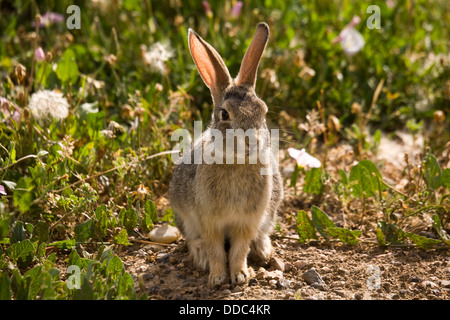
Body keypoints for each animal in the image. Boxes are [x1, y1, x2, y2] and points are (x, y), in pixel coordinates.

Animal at [169, 23, 282, 288]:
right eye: (224, 114)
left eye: (263, 112)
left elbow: (240, 249)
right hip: (184, 216)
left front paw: (239, 276)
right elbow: (215, 250)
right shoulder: (209, 221)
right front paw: (218, 277)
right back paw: (200, 256)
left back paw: (263, 250)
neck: (236, 163)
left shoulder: (247, 222)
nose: (253, 141)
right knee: (193, 239)